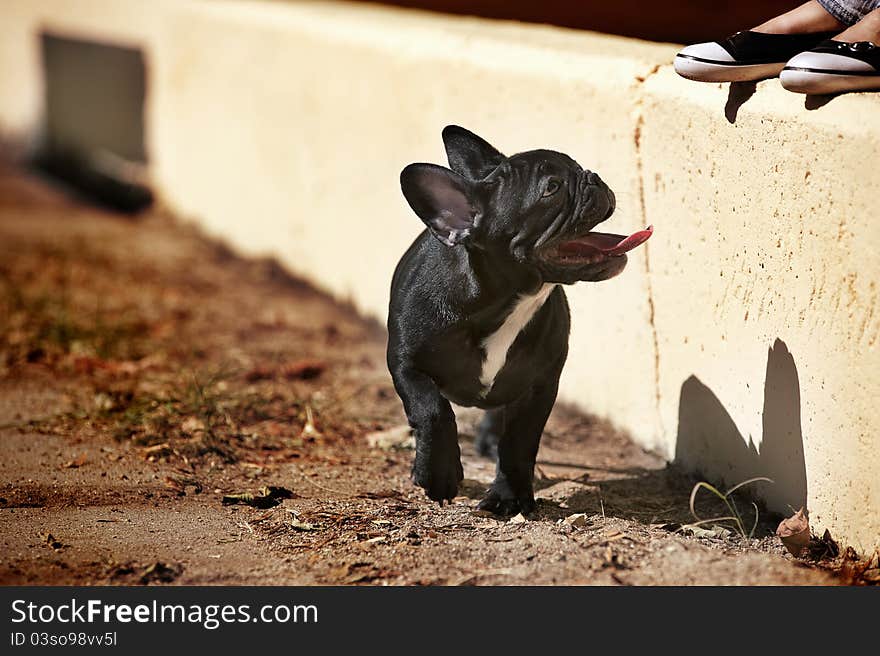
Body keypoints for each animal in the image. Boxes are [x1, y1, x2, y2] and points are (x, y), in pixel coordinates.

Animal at [388, 125, 648, 516]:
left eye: (576, 166)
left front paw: (508, 496)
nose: (592, 177)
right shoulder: (406, 364)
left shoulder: (539, 385)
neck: (505, 303)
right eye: (552, 188)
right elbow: (431, 410)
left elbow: (520, 442)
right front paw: (437, 475)